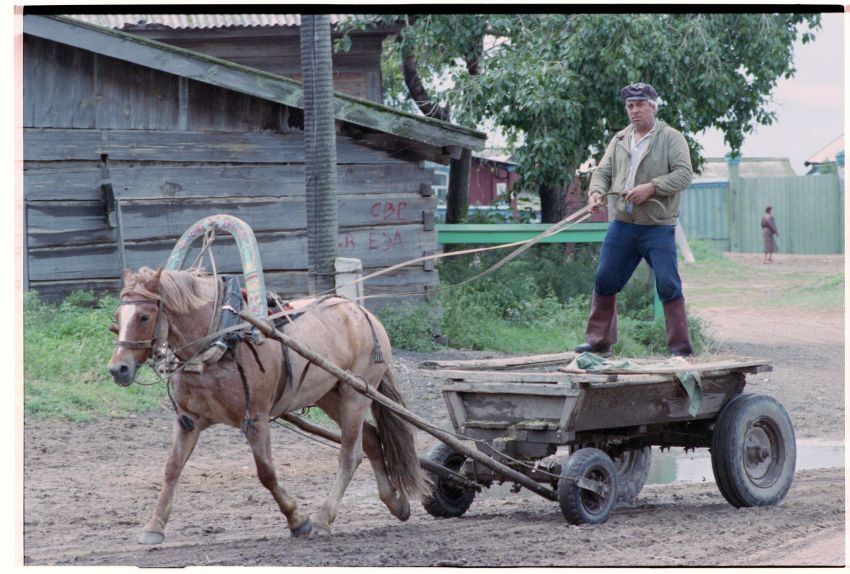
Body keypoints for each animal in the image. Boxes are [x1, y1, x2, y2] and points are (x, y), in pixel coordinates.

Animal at [106, 266, 428, 544]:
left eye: (144, 316)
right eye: (118, 316)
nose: (118, 369)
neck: (220, 341)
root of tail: (361, 311)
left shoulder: (256, 418)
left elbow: (266, 472)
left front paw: (298, 520)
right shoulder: (189, 419)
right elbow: (172, 468)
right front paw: (154, 526)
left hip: (355, 392)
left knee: (350, 455)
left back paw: (323, 519)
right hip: (329, 394)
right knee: (372, 439)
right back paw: (395, 501)